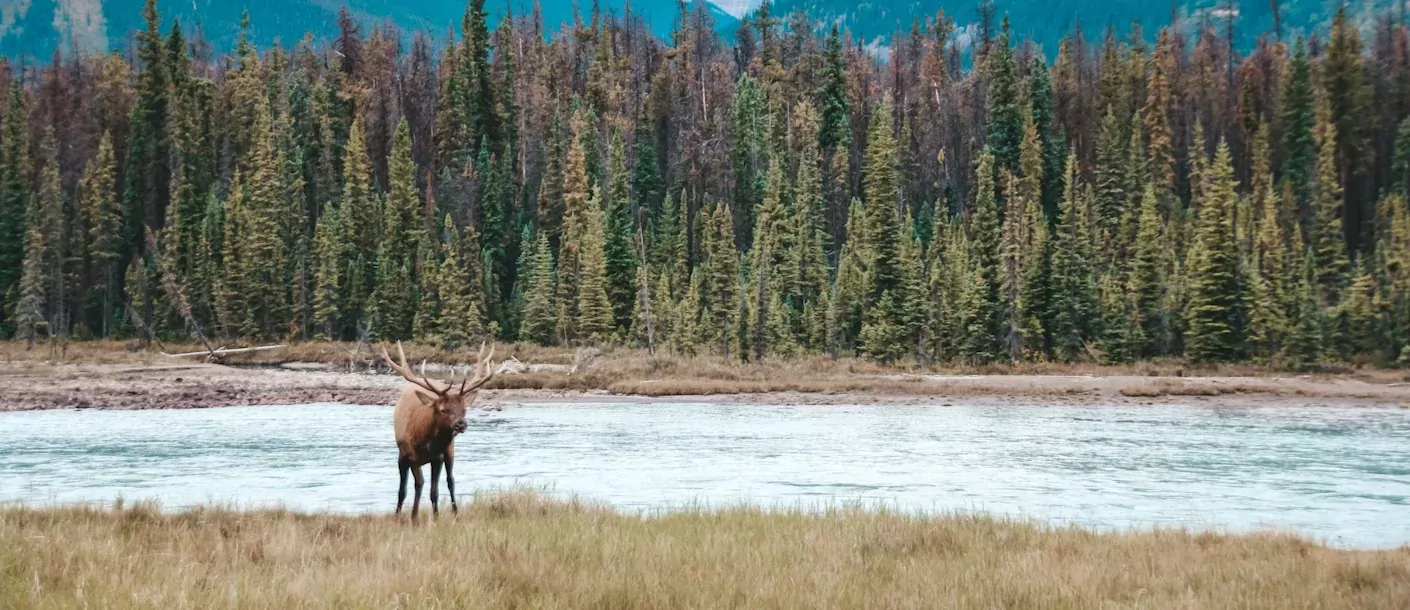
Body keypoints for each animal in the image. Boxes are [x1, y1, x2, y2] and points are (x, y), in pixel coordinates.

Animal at [383, 339, 499, 515]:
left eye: (464, 409)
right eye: (444, 409)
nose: (461, 424)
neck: (422, 440)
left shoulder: (437, 457)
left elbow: (434, 491)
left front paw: (433, 516)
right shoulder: (405, 454)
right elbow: (407, 488)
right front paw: (405, 516)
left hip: (449, 450)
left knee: (450, 480)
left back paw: (455, 512)